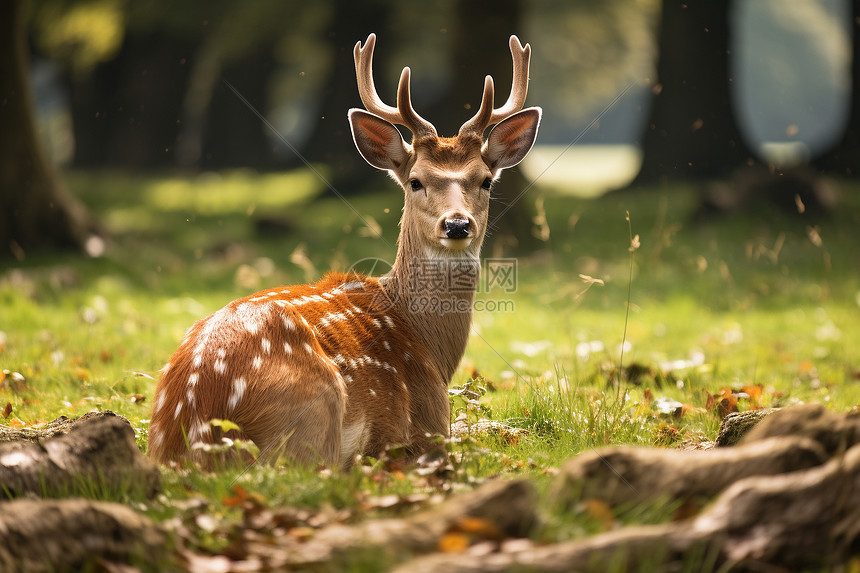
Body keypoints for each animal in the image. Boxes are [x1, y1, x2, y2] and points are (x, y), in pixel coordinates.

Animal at [147, 33, 536, 466]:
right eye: (415, 181)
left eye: (485, 180)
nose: (456, 224)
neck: (430, 347)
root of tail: (197, 429)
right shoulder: (431, 425)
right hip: (315, 409)